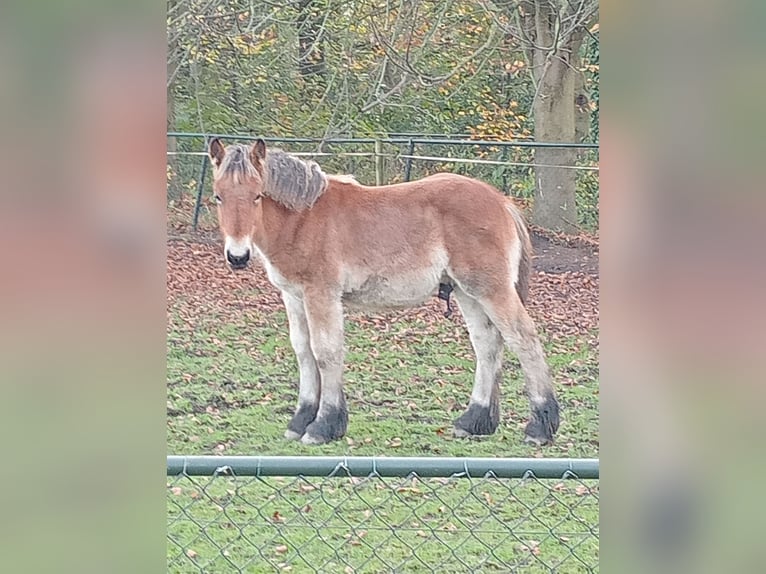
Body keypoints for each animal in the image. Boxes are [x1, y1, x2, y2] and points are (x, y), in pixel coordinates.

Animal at [207, 137, 560, 448]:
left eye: (256, 196)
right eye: (218, 197)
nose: (237, 256)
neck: (303, 218)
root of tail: (502, 202)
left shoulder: (321, 294)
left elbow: (326, 352)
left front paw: (323, 426)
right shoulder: (294, 296)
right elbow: (303, 352)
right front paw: (300, 421)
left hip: (491, 289)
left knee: (523, 339)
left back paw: (540, 427)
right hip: (466, 292)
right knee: (487, 345)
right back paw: (474, 421)